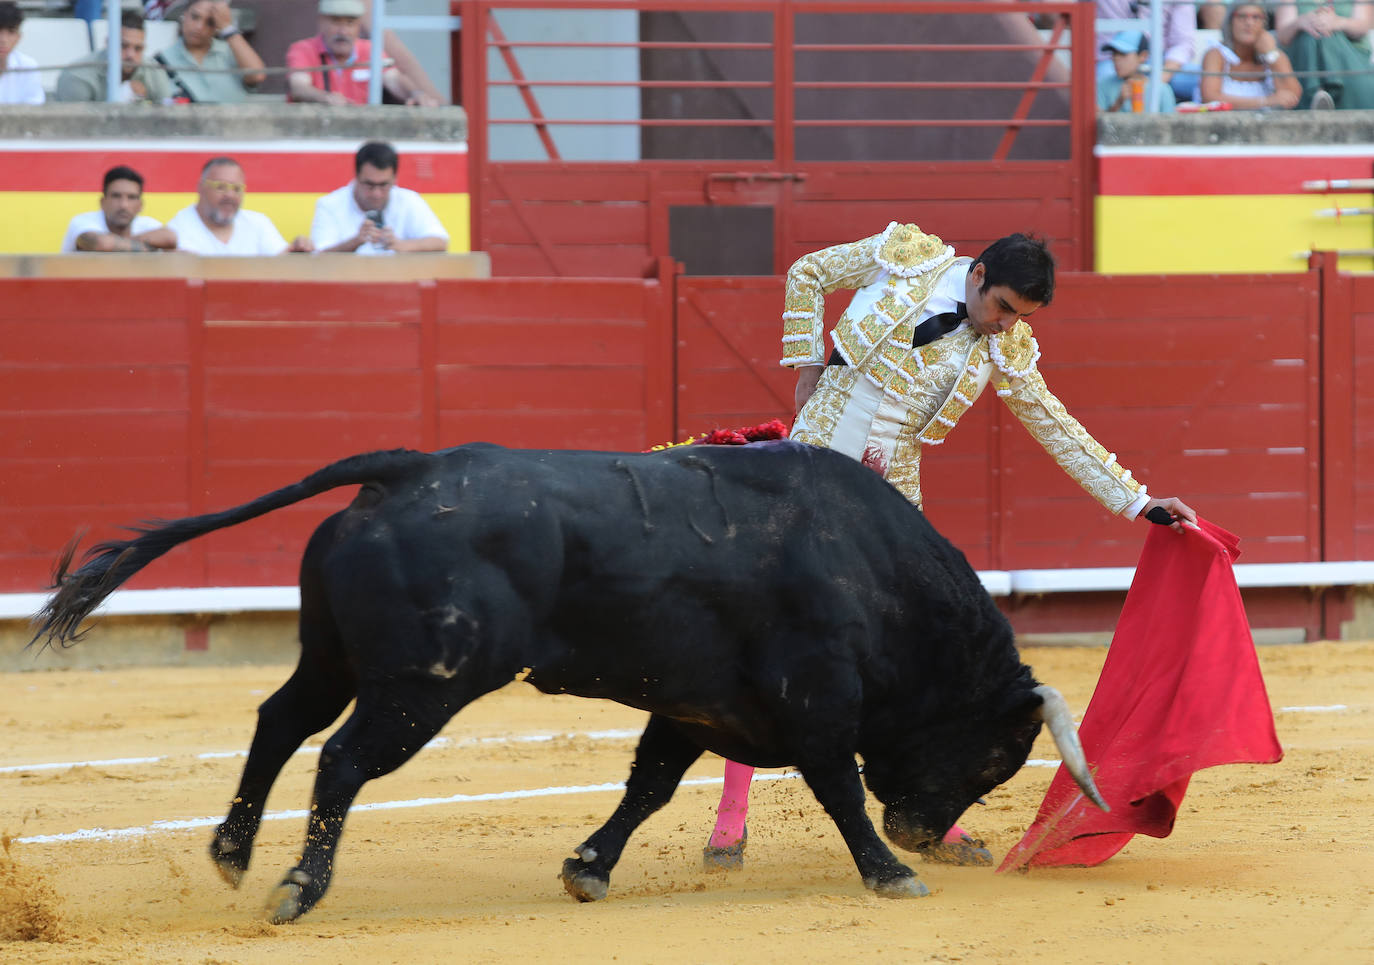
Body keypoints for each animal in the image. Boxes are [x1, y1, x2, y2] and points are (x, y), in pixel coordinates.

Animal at [29, 442, 1104, 923]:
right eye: (997, 755)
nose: (923, 830)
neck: (873, 572)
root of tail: (410, 467)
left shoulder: (695, 705)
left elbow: (648, 786)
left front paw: (587, 867)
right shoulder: (814, 704)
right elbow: (836, 786)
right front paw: (890, 872)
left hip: (333, 655)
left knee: (277, 722)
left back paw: (231, 852)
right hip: (423, 684)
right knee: (339, 758)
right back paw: (298, 885)